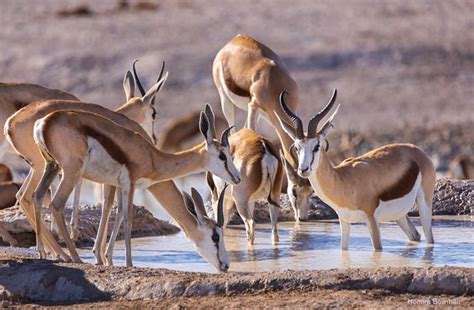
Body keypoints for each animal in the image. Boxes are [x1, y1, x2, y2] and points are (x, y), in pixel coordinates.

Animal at [5, 65, 167, 262]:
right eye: (154, 113)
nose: (154, 138)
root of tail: (11, 123)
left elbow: (107, 203)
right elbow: (108, 204)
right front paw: (100, 255)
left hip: (43, 167)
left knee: (24, 196)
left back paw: (53, 252)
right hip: (43, 166)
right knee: (29, 197)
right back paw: (62, 253)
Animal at [31, 104, 239, 268]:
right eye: (215, 236)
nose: (237, 177)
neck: (152, 157)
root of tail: (44, 122)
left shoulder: (119, 184)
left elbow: (117, 214)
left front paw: (108, 259)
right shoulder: (129, 182)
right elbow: (127, 219)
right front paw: (129, 263)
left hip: (52, 166)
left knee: (36, 196)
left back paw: (42, 253)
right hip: (71, 172)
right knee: (56, 205)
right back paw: (75, 258)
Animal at [276, 89, 436, 249]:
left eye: (316, 146)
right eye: (297, 148)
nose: (303, 169)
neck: (344, 180)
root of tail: (418, 151)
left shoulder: (371, 219)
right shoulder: (344, 221)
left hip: (424, 205)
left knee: (429, 239)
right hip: (400, 215)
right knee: (415, 235)